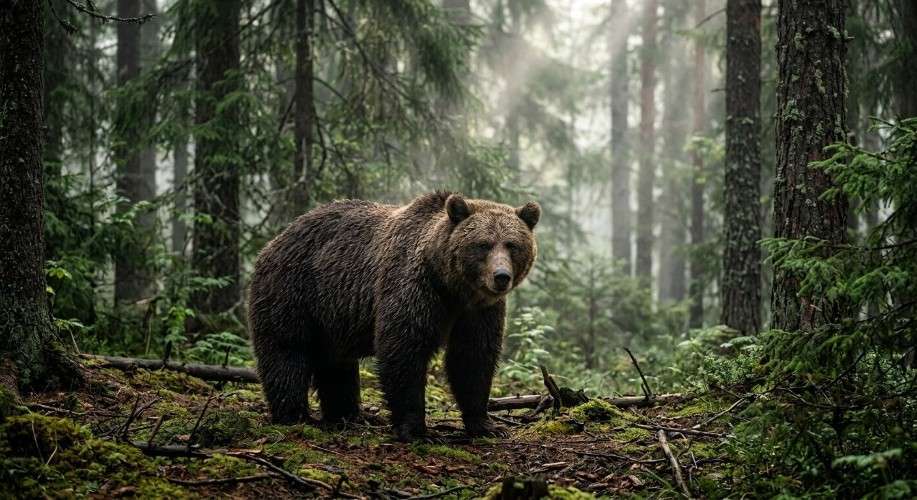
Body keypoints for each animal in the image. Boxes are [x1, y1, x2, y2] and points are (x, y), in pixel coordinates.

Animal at [248, 191, 540, 441]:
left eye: (512, 245)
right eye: (483, 245)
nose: (501, 277)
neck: (451, 285)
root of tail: (275, 240)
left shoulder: (478, 311)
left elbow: (473, 358)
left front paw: (487, 425)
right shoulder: (413, 286)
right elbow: (404, 348)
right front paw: (415, 429)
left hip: (331, 315)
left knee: (336, 365)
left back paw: (347, 415)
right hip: (293, 290)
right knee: (287, 350)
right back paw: (295, 414)